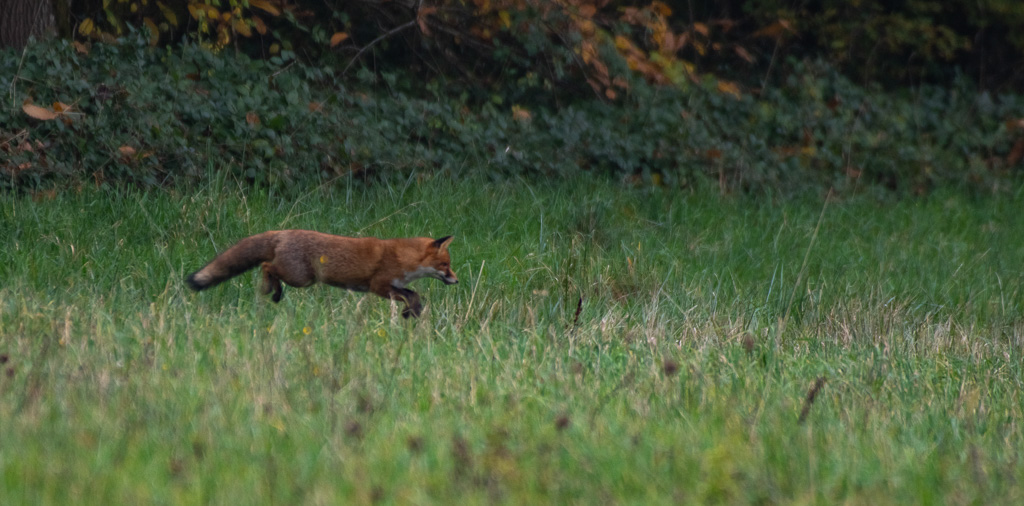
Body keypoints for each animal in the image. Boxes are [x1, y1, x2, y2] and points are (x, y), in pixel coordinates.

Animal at [186, 230, 457, 318]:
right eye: (445, 264)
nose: (457, 280)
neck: (404, 257)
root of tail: (282, 232)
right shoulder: (379, 285)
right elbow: (410, 295)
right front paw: (410, 311)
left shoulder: (393, 286)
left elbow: (414, 295)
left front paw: (412, 312)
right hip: (301, 278)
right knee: (266, 266)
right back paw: (272, 291)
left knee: (266, 265)